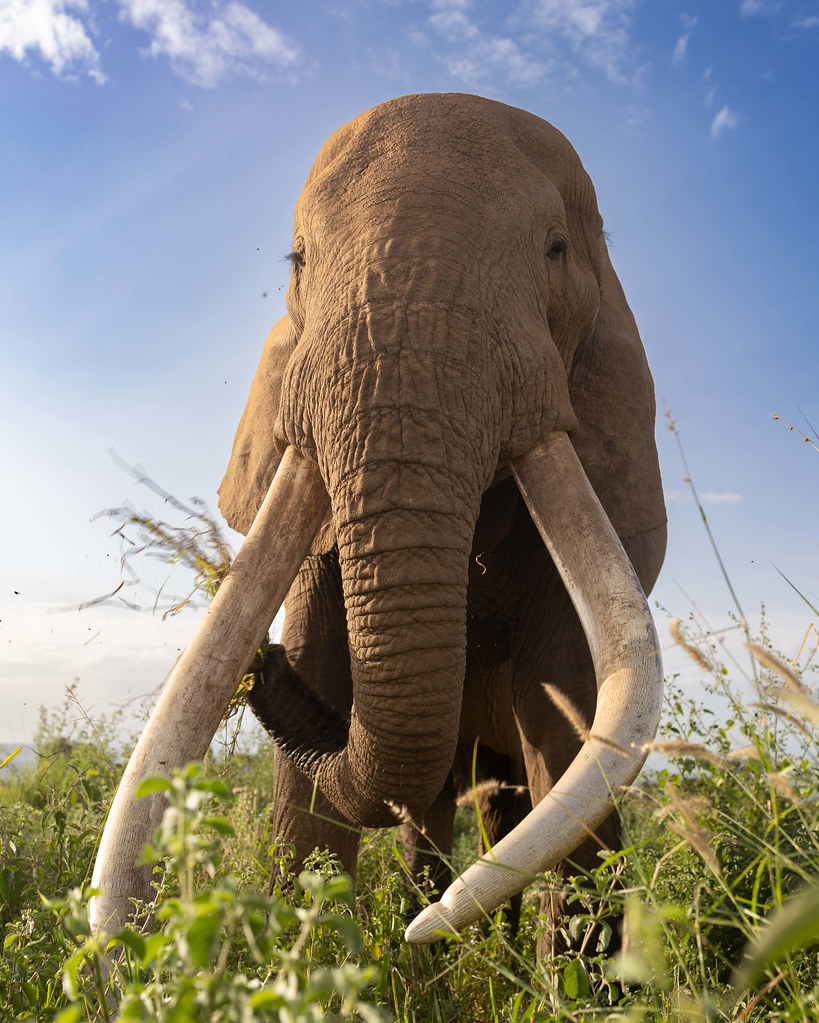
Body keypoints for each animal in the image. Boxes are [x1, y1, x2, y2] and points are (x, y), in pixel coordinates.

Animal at [90, 93, 666, 948]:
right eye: (296, 260)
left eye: (556, 249)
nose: (259, 662)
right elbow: (316, 721)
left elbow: (566, 731)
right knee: (439, 815)